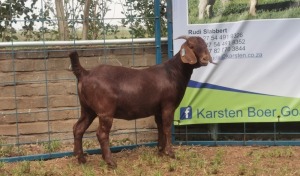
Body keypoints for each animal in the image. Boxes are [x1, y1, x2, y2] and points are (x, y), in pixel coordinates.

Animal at [69, 35, 214, 168]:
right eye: (191, 46)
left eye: (205, 45)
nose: (205, 59)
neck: (173, 72)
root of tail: (85, 73)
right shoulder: (168, 105)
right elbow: (167, 127)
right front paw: (170, 153)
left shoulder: (158, 109)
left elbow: (160, 127)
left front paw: (160, 151)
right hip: (105, 110)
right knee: (101, 133)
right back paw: (110, 161)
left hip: (87, 109)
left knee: (78, 128)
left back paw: (81, 159)